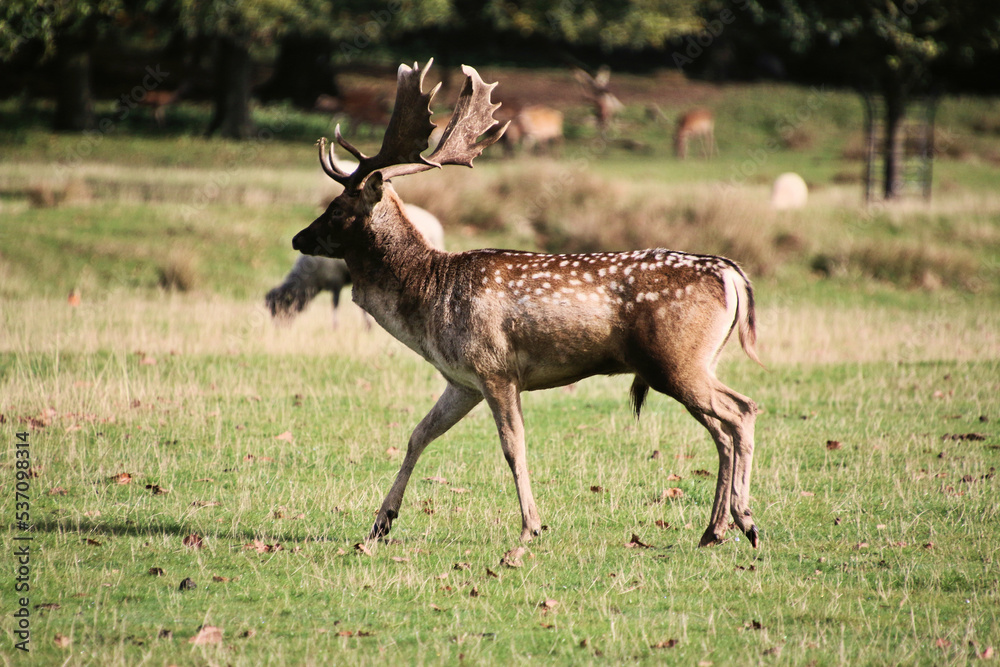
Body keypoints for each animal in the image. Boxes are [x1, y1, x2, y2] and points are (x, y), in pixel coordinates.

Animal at [291, 60, 762, 550]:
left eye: (337, 208)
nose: (299, 238)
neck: (429, 297)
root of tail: (731, 272)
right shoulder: (462, 381)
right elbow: (418, 435)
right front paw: (381, 523)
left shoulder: (495, 368)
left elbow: (512, 446)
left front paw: (530, 526)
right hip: (691, 363)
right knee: (723, 429)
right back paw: (714, 529)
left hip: (675, 360)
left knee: (741, 411)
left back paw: (745, 520)